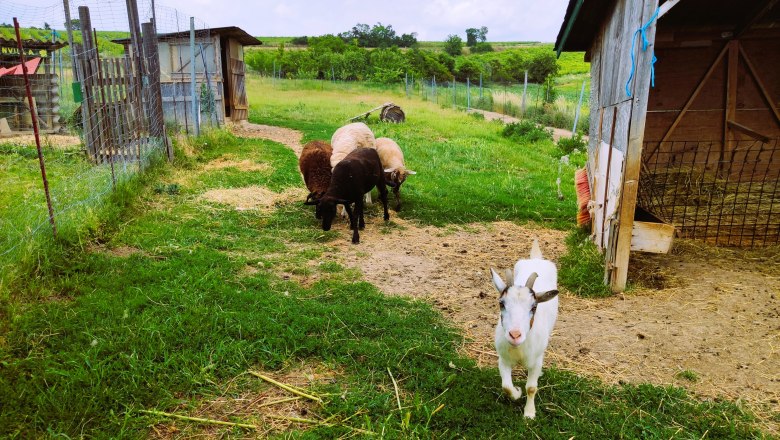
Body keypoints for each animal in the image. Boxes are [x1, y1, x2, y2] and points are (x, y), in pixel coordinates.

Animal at [489, 239, 559, 419]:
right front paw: (517, 392)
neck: (519, 349)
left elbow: (532, 388)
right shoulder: (503, 359)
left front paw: (529, 413)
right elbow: (506, 387)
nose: (515, 335)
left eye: (534, 307)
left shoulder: (536, 361)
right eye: (501, 303)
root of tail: (536, 258)